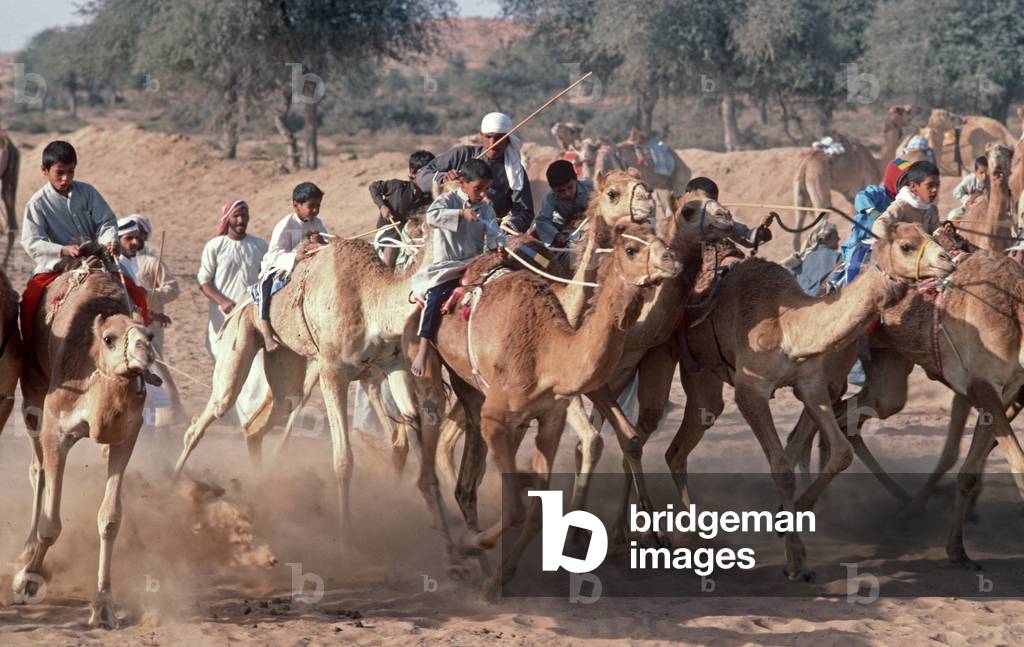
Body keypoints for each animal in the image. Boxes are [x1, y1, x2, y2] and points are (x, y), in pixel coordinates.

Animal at [13, 244, 157, 628]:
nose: (146, 353)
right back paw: (25, 552)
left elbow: (109, 519)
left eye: (149, 335)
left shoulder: (126, 435)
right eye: (109, 339)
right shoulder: (56, 428)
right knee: (37, 470)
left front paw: (103, 606)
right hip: (32, 390)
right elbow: (50, 522)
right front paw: (27, 581)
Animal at [408, 220, 681, 598]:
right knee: (436, 458)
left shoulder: (550, 417)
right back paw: (458, 559)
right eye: (631, 249)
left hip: (472, 391)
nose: (673, 261)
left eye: (659, 238)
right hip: (429, 365)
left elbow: (536, 509)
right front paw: (476, 552)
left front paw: (501, 577)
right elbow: (516, 509)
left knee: (465, 476)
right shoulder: (497, 418)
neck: (548, 352)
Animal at [665, 222, 954, 579]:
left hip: (705, 373)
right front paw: (795, 561)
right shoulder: (750, 390)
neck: (787, 328)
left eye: (929, 234)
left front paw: (787, 523)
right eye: (906, 246)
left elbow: (840, 452)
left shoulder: (812, 384)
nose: (947, 261)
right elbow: (782, 468)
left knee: (679, 447)